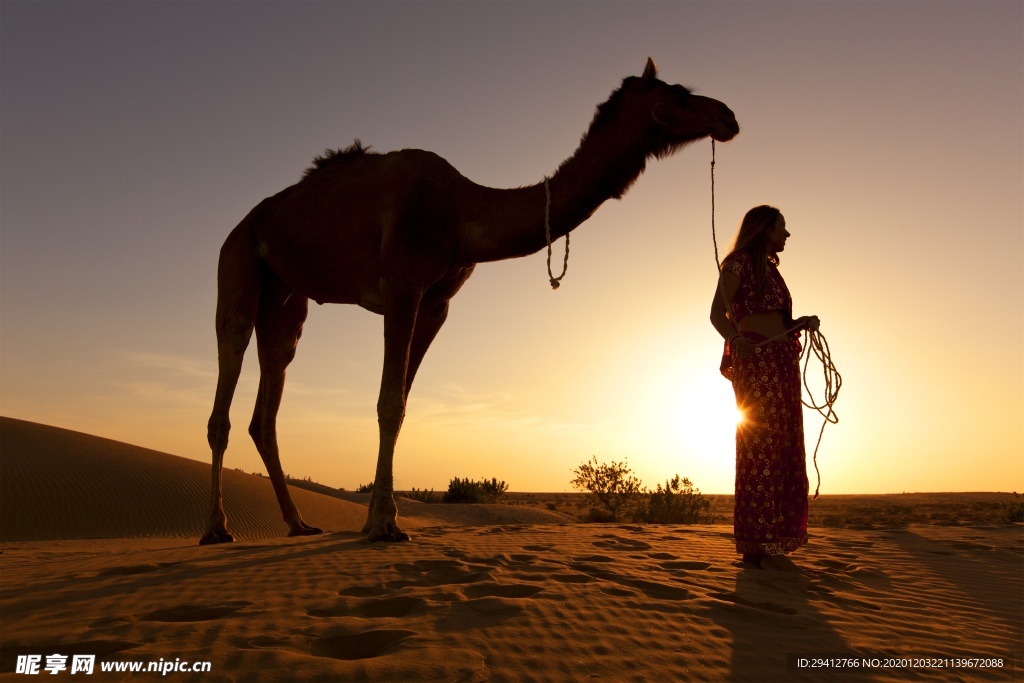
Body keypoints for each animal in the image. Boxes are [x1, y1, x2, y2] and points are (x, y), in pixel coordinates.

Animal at [201, 58, 737, 544]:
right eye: (679, 93)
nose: (728, 115)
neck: (461, 210)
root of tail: (244, 222)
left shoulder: (436, 304)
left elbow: (401, 403)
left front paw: (380, 518)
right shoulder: (402, 284)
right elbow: (388, 401)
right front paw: (383, 525)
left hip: (286, 299)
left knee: (266, 407)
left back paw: (297, 523)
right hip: (237, 264)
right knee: (227, 379)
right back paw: (216, 529)